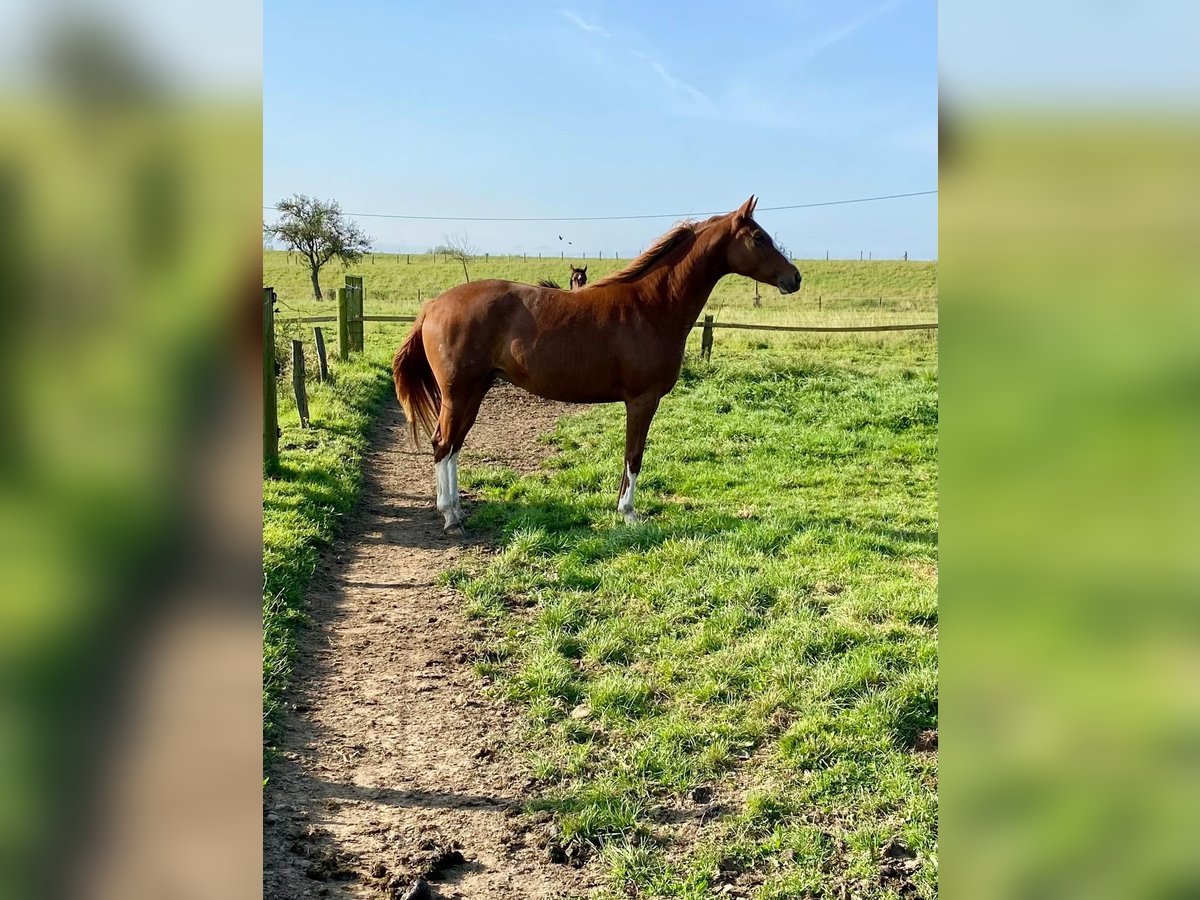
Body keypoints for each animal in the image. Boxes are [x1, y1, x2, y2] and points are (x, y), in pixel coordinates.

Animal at [393, 195, 801, 535]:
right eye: (759, 238)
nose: (794, 277)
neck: (651, 305)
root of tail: (433, 305)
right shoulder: (642, 400)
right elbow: (634, 456)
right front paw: (629, 513)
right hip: (458, 393)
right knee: (443, 443)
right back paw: (449, 516)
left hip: (475, 391)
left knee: (453, 445)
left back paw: (457, 510)